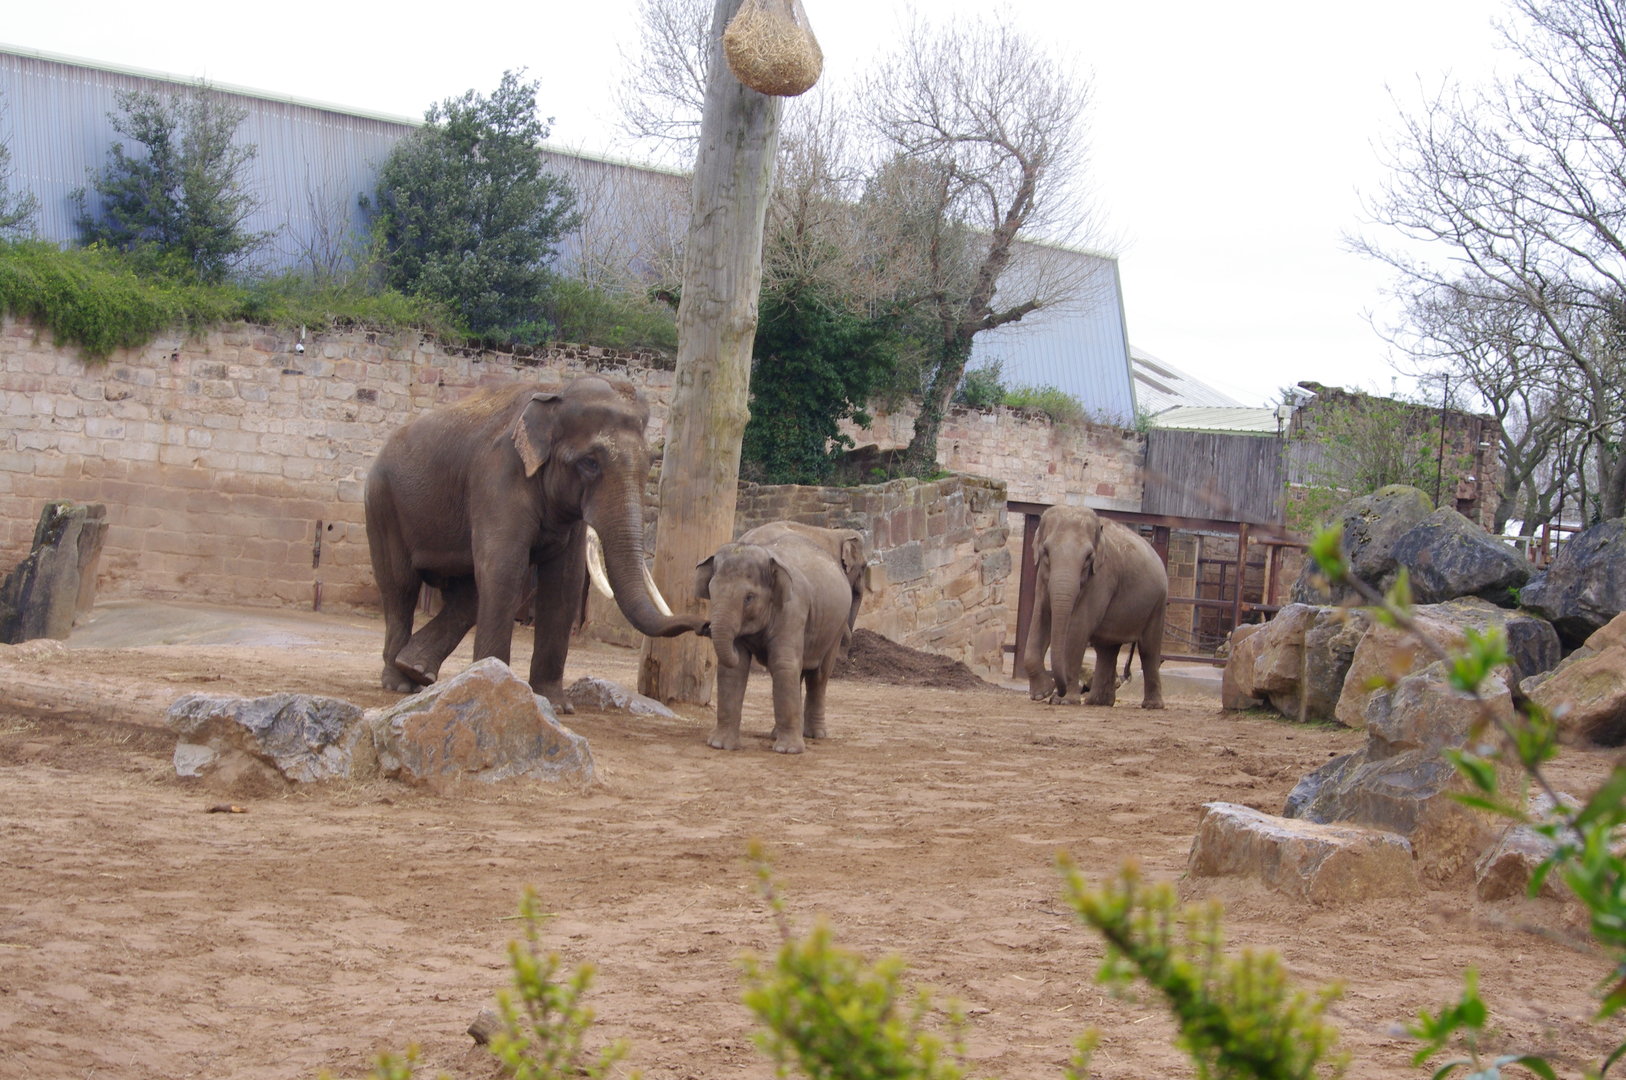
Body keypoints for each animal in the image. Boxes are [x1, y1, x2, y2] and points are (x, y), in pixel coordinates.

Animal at [364, 376, 705, 711]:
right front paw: (496, 688)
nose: (704, 624)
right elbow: (505, 568)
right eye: (590, 463)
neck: (555, 392)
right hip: (382, 502)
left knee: (467, 592)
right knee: (400, 586)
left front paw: (555, 705)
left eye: (651, 462)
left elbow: (565, 581)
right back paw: (400, 681)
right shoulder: (497, 475)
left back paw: (416, 669)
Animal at [694, 522, 865, 753]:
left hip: (834, 628)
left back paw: (815, 735)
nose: (704, 627)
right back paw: (779, 734)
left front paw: (788, 750)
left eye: (749, 598)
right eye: (711, 592)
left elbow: (784, 664)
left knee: (819, 676)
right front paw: (720, 745)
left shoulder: (793, 609)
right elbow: (735, 669)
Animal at [1022, 504, 1167, 709]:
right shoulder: (1042, 577)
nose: (1057, 690)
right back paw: (1097, 702)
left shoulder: (1102, 579)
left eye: (1088, 557)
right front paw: (1041, 694)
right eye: (1046, 552)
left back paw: (1152, 705)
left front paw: (1064, 701)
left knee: (1149, 649)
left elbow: (1078, 628)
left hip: (1158, 603)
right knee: (1106, 648)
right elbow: (1039, 619)